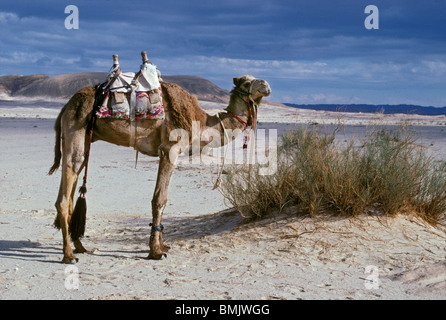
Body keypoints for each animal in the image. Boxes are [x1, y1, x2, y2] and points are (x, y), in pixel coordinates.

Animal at [48, 63, 272, 264]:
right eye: (246, 82)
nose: (266, 85)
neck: (199, 121)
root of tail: (65, 107)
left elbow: (162, 200)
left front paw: (162, 245)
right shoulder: (170, 149)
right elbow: (160, 199)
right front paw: (155, 251)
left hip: (86, 136)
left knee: (72, 188)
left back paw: (80, 246)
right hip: (75, 128)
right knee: (65, 191)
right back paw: (69, 255)